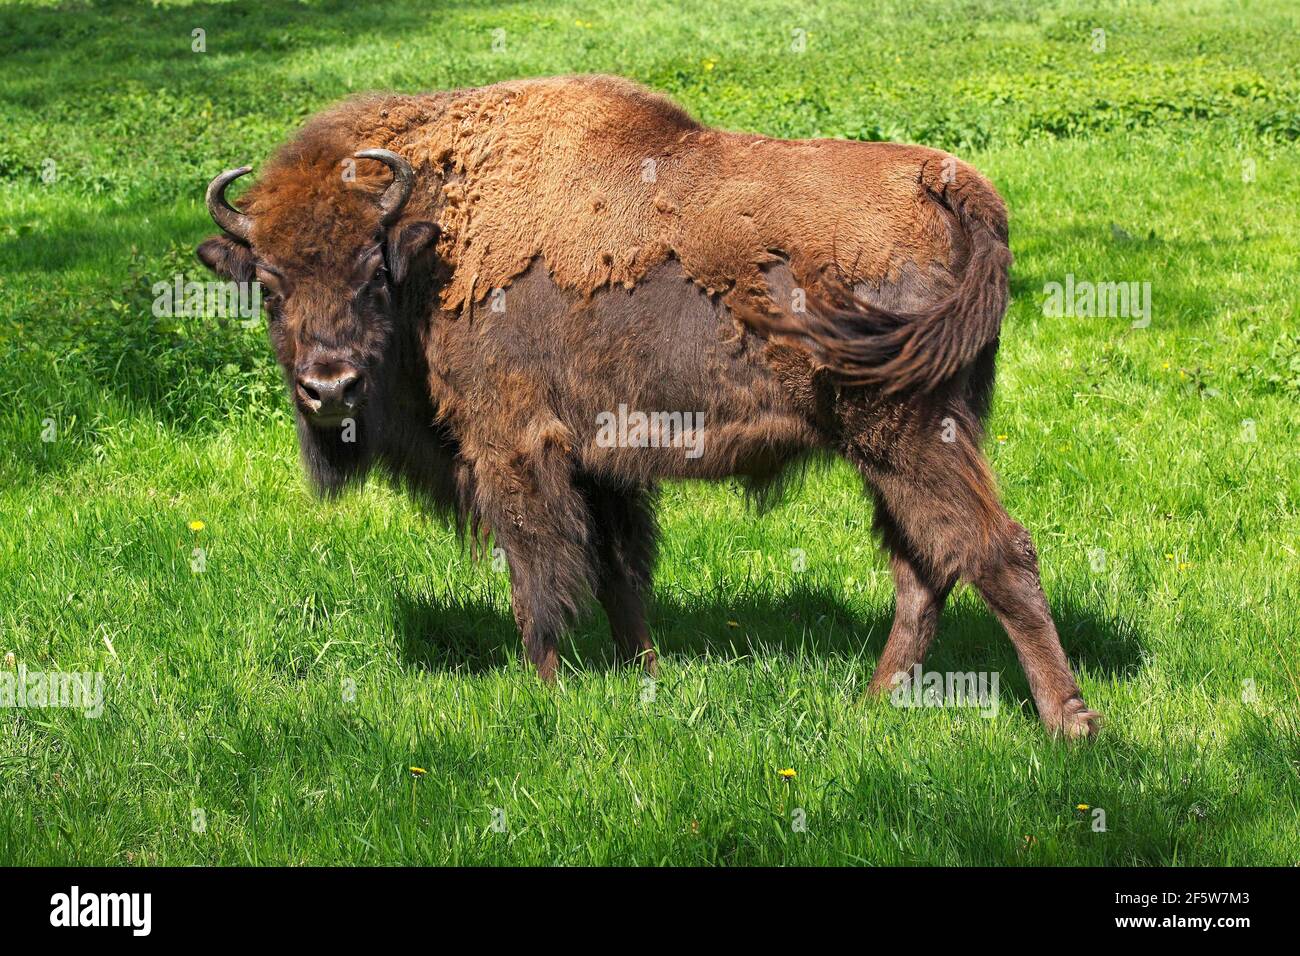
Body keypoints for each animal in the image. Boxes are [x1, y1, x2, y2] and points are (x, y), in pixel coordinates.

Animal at [197, 74, 1102, 738]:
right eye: (268, 284)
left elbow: (539, 576)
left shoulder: (513, 447)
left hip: (908, 435)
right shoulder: (601, 464)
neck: (437, 232)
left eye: (369, 273)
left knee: (994, 551)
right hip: (901, 445)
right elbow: (619, 575)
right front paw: (646, 676)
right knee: (924, 566)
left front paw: (547, 693)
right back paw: (872, 705)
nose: (328, 387)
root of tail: (955, 185)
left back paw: (1070, 725)